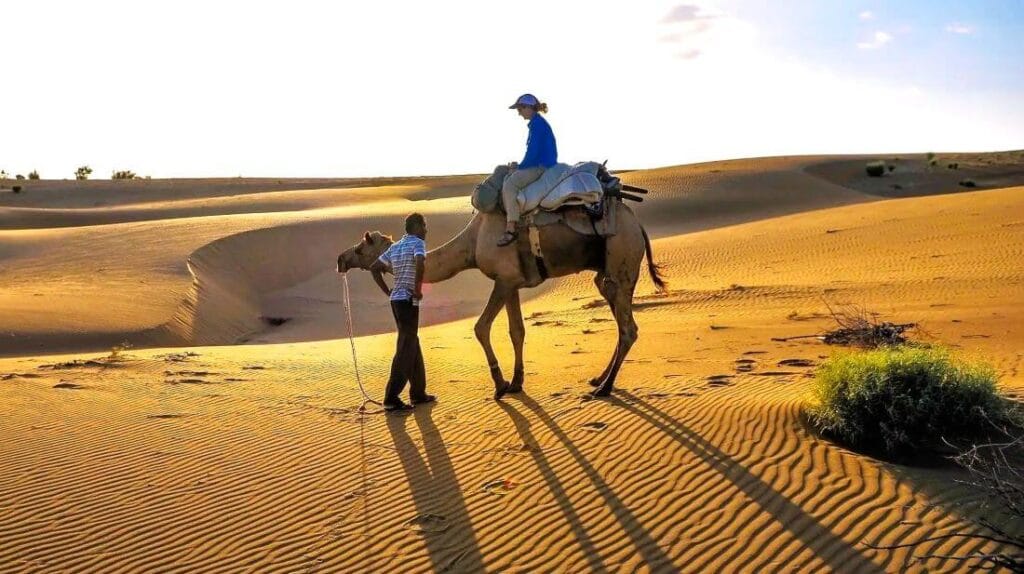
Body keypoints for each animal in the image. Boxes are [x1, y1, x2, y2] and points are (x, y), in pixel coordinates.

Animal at [339, 201, 667, 399]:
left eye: (361, 247)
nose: (341, 259)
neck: (471, 245)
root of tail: (638, 225)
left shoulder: (504, 279)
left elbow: (481, 327)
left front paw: (500, 384)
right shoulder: (514, 283)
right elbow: (516, 331)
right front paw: (517, 382)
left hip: (622, 256)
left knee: (628, 329)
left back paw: (605, 387)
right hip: (608, 273)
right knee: (621, 321)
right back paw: (599, 379)